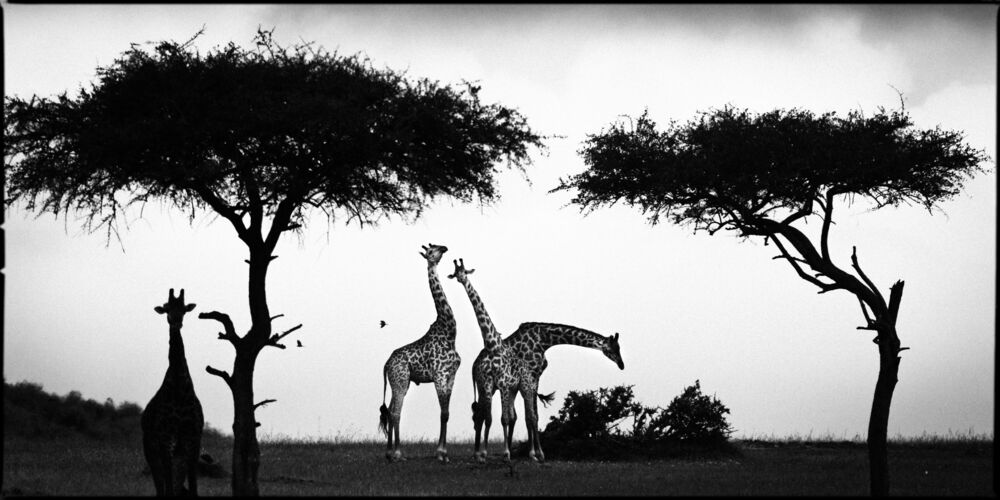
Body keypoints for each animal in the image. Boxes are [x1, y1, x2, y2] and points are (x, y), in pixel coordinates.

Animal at [141, 288, 205, 496]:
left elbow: (192, 484)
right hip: (150, 450)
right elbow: (167, 483)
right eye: (167, 308)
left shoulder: (193, 439)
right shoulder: (165, 439)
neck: (179, 387)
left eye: (183, 309)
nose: (176, 321)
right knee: (160, 484)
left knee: (176, 483)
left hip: (178, 453)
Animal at [378, 243, 460, 463]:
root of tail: (386, 364)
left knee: (391, 410)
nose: (445, 247)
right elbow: (442, 412)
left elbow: (447, 413)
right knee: (396, 412)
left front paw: (444, 453)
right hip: (400, 380)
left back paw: (389, 453)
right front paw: (440, 453)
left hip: (401, 382)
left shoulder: (451, 376)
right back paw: (398, 453)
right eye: (432, 250)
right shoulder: (439, 375)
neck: (449, 331)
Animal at [448, 257, 526, 463]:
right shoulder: (488, 384)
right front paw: (483, 453)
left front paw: (506, 453)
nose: (461, 280)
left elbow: (503, 418)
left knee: (511, 416)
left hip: (514, 389)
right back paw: (478, 452)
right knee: (482, 416)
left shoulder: (504, 384)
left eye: (465, 271)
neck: (492, 345)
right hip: (490, 390)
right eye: (455, 273)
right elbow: (489, 418)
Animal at [474, 322, 625, 462]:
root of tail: (474, 365)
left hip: (491, 387)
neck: (544, 339)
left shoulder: (533, 378)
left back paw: (483, 452)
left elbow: (532, 415)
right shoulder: (532, 376)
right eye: (613, 348)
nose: (621, 365)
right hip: (491, 386)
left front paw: (533, 452)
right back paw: (481, 453)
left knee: (482, 414)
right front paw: (537, 453)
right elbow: (531, 416)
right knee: (482, 415)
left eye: (619, 347)